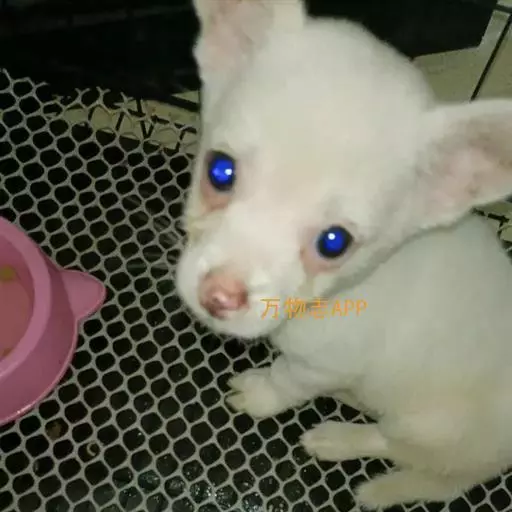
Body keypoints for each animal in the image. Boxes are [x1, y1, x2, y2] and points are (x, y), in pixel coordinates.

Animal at [176, 0, 512, 509]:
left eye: (333, 242)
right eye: (220, 171)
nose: (220, 296)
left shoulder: (322, 365)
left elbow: (285, 379)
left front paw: (259, 394)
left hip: (428, 429)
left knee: (397, 448)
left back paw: (341, 443)